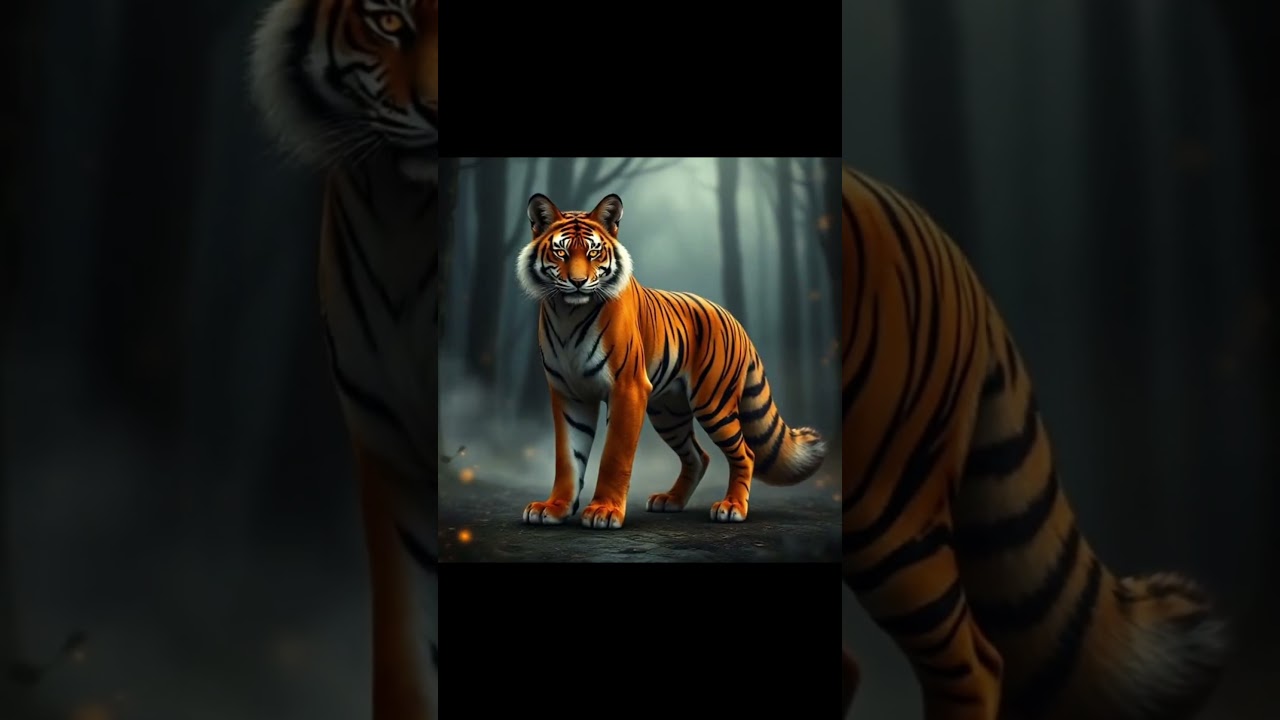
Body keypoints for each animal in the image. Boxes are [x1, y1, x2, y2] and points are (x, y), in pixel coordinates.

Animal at [514, 193, 827, 530]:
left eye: (594, 252)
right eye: (560, 252)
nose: (577, 282)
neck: (568, 313)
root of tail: (735, 321)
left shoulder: (627, 388)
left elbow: (614, 455)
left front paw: (604, 511)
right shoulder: (568, 393)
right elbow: (568, 457)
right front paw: (553, 507)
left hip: (713, 405)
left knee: (745, 453)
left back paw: (732, 507)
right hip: (668, 412)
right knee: (698, 455)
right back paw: (671, 500)